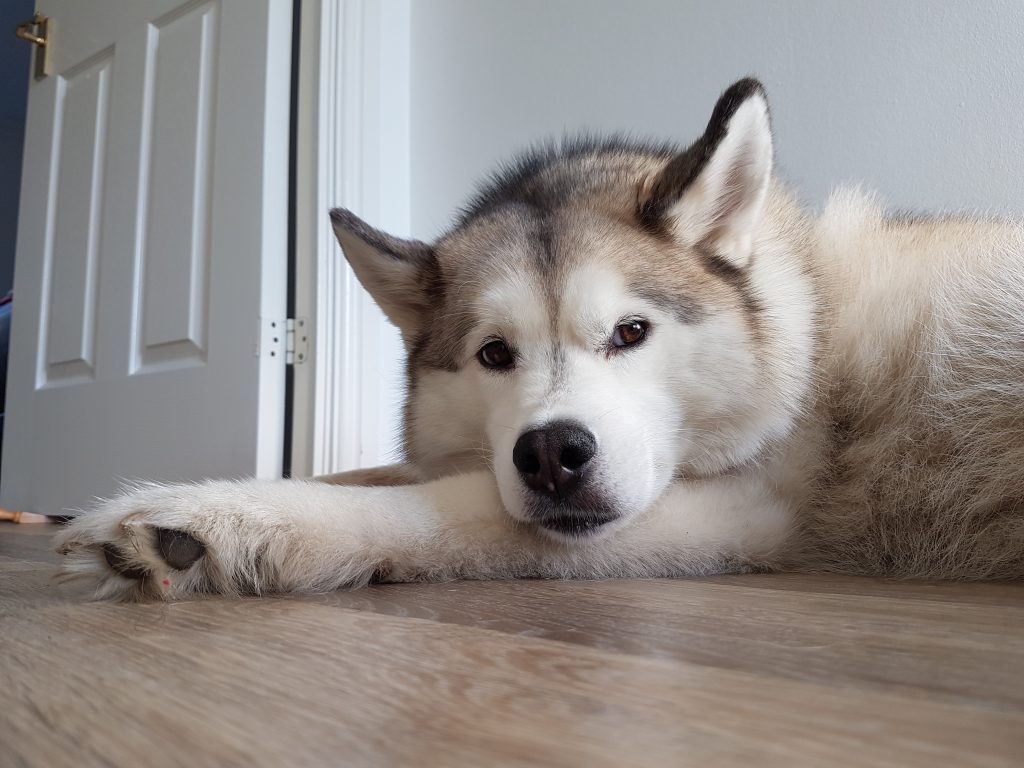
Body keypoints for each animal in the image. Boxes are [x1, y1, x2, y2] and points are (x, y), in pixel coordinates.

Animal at [58, 81, 1024, 606]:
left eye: (631, 333)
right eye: (494, 354)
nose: (553, 453)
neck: (812, 327)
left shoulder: (748, 508)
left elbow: (434, 507)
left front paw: (211, 523)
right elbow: (370, 471)